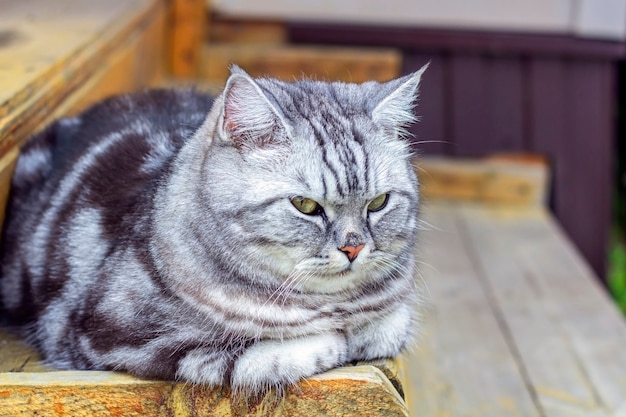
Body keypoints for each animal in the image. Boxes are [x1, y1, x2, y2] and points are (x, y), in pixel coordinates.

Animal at [0, 64, 424, 394]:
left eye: (378, 203)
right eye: (305, 206)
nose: (354, 247)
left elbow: (394, 323)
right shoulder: (117, 335)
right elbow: (255, 355)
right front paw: (335, 339)